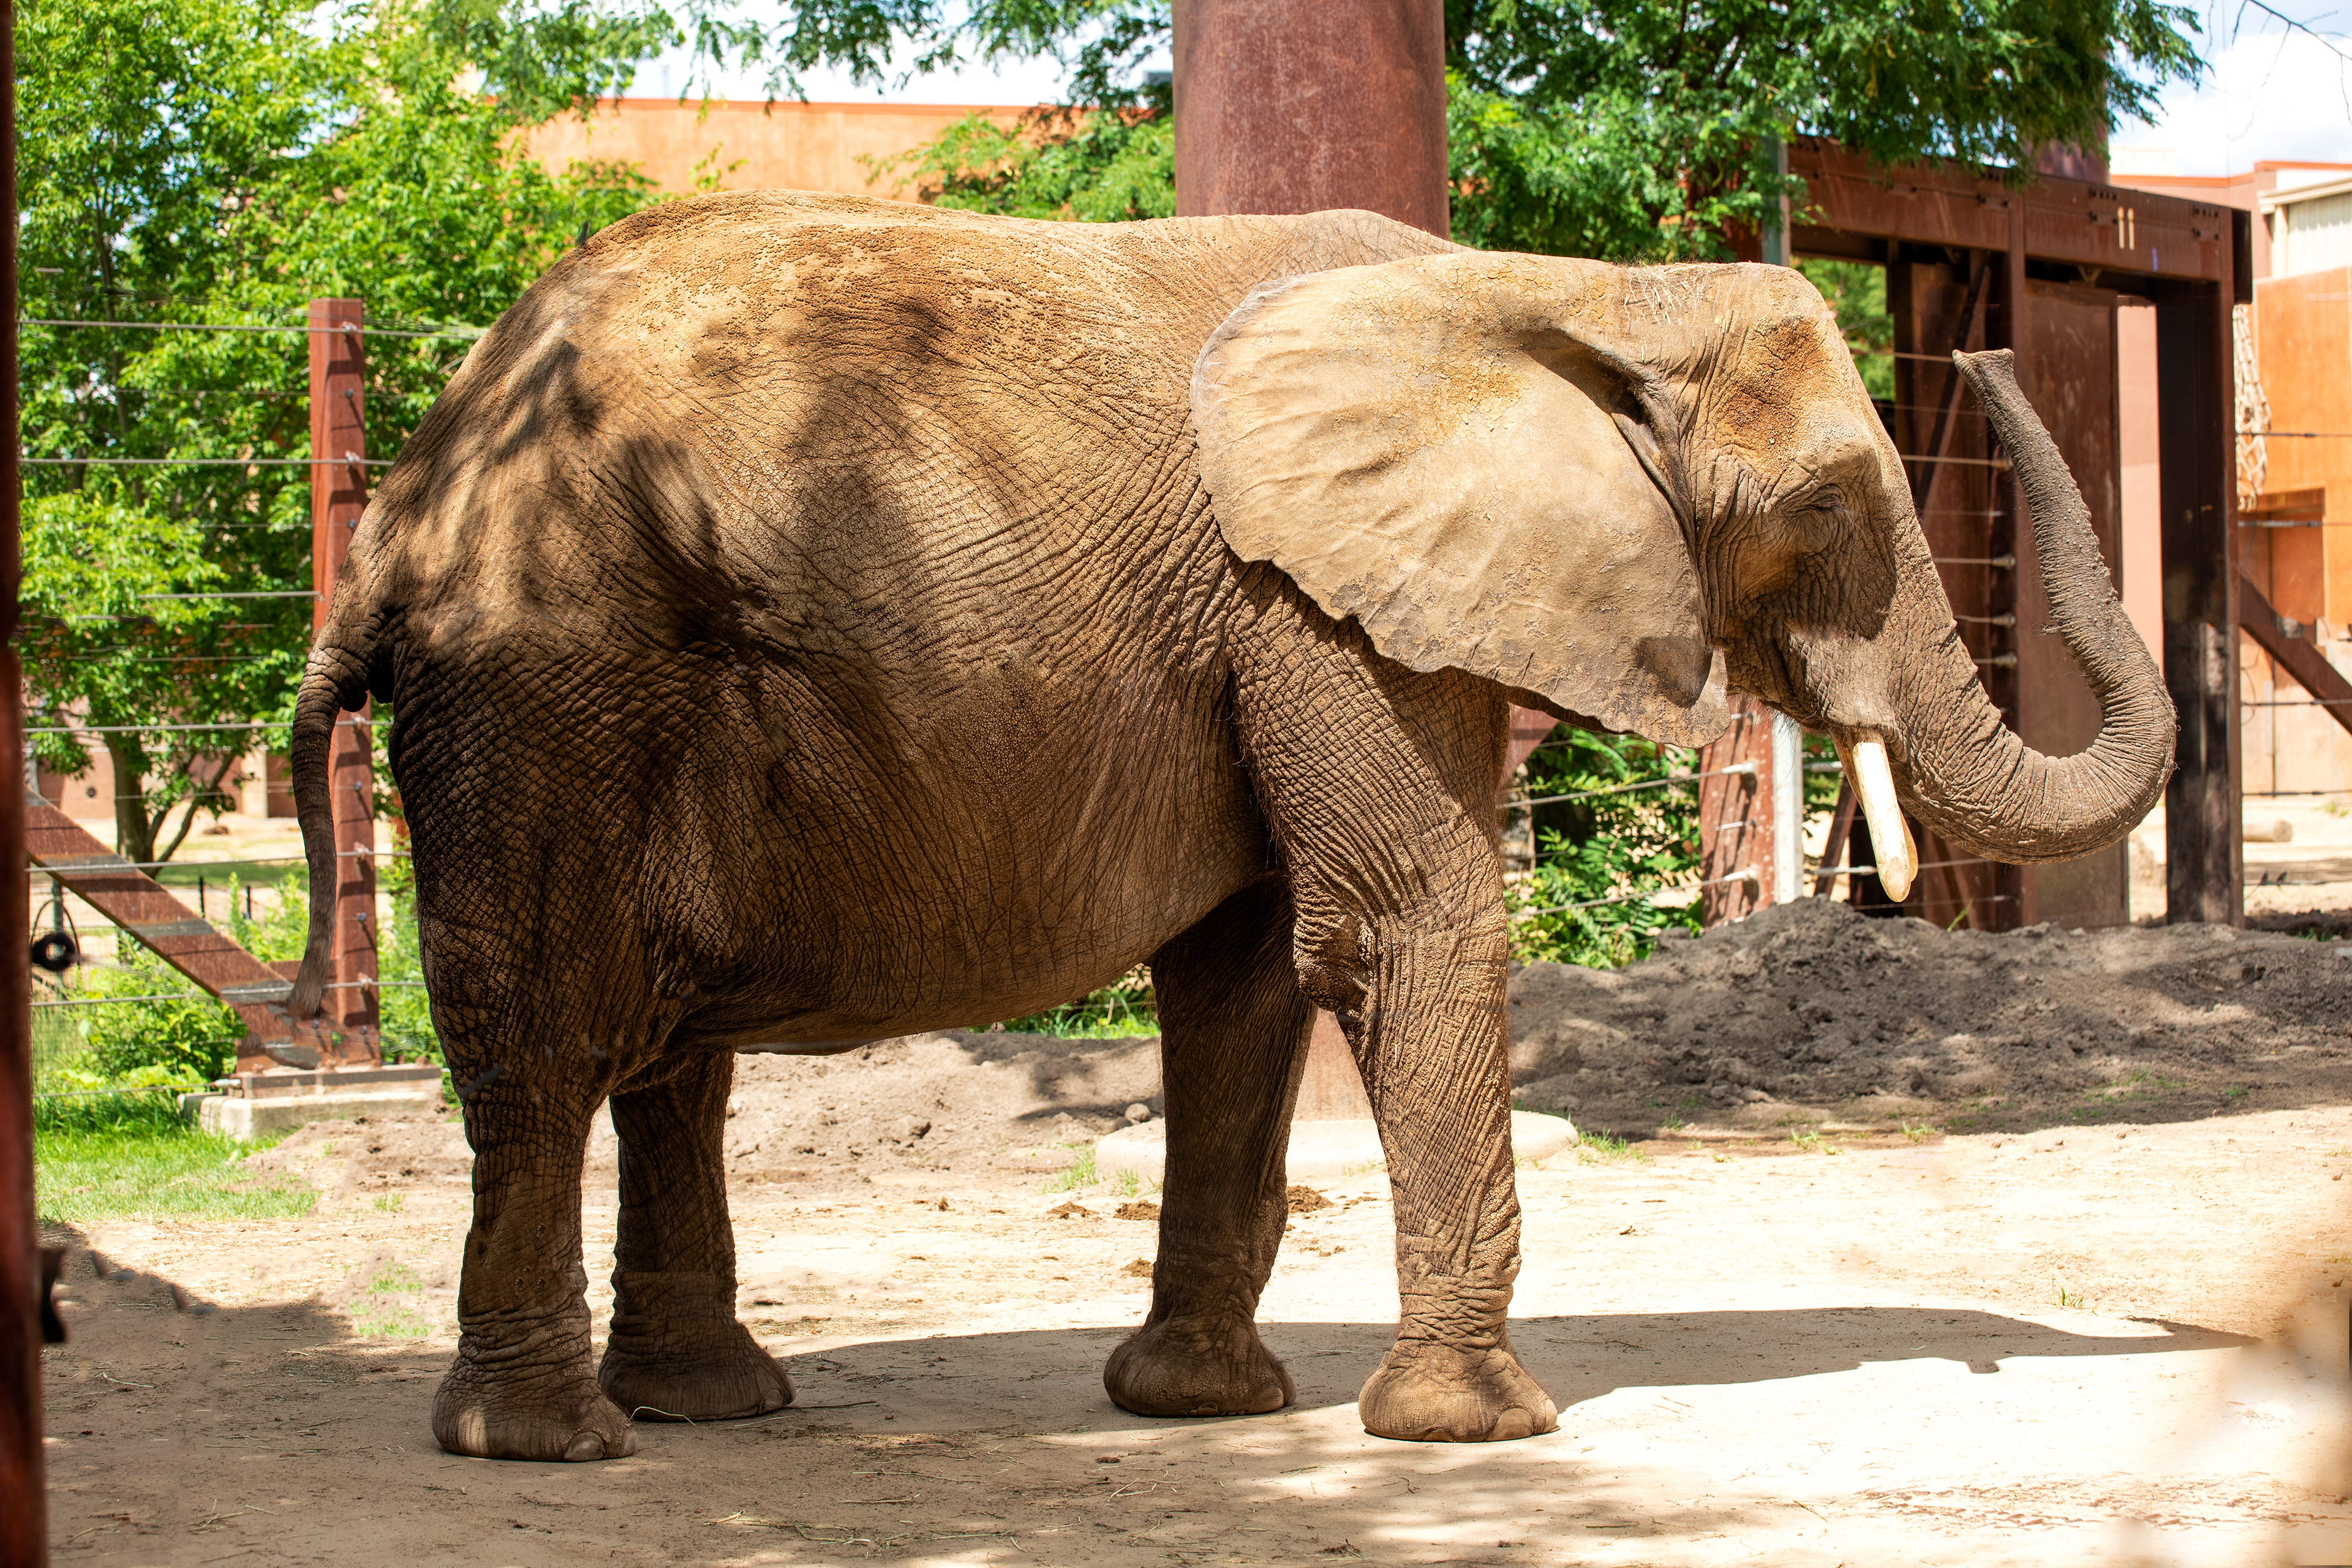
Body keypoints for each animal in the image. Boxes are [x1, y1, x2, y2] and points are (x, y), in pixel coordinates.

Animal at [287, 191, 2171, 1463]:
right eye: (1829, 507)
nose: (1998, 336)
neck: (1557, 293)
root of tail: (410, 500)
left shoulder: (1289, 604)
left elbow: (1248, 974)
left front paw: (1203, 1408)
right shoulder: (1320, 597)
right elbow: (1402, 922)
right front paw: (1479, 1430)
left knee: (670, 1053)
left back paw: (705, 1408)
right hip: (547, 677)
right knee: (552, 1028)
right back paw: (548, 1441)